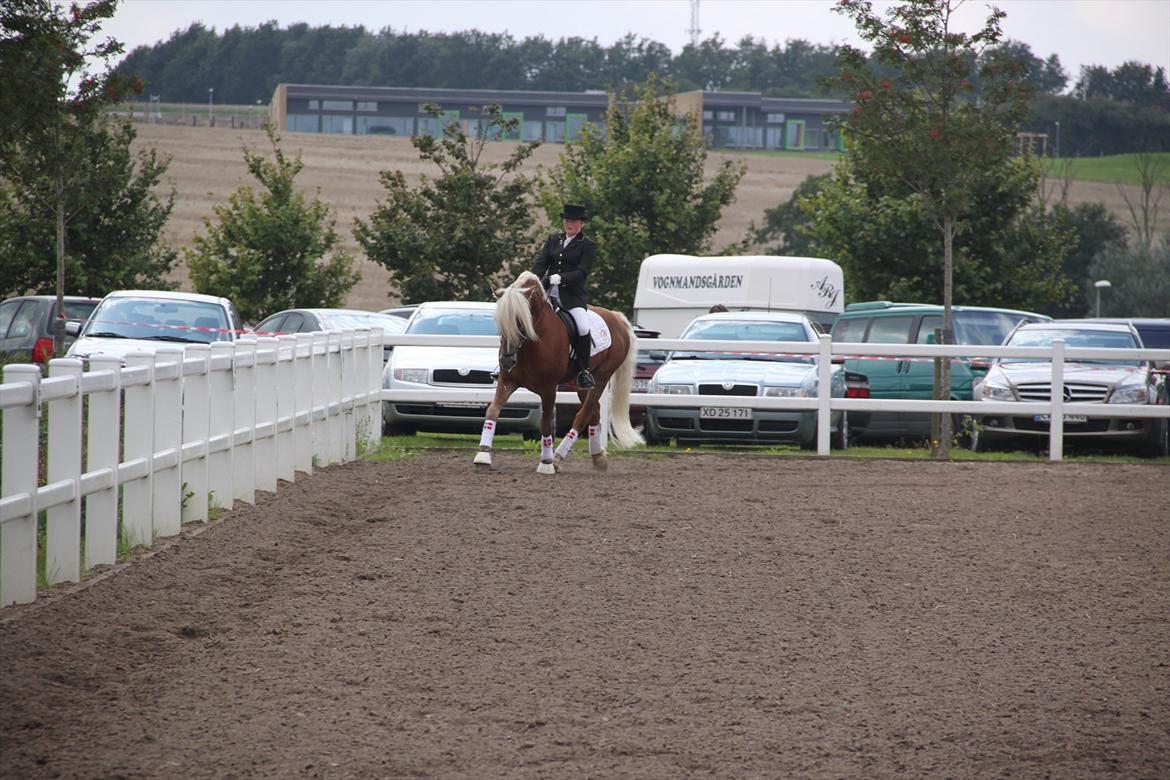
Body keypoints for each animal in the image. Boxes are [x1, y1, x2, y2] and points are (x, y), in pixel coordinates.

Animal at [470, 271, 645, 472]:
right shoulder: (508, 381)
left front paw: (546, 463)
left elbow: (545, 423)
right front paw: (482, 456)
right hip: (581, 384)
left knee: (583, 414)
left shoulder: (548, 388)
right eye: (499, 322)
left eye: (520, 321)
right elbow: (493, 410)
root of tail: (616, 317)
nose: (506, 360)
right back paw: (598, 457)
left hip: (602, 377)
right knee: (594, 411)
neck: (533, 342)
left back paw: (558, 457)